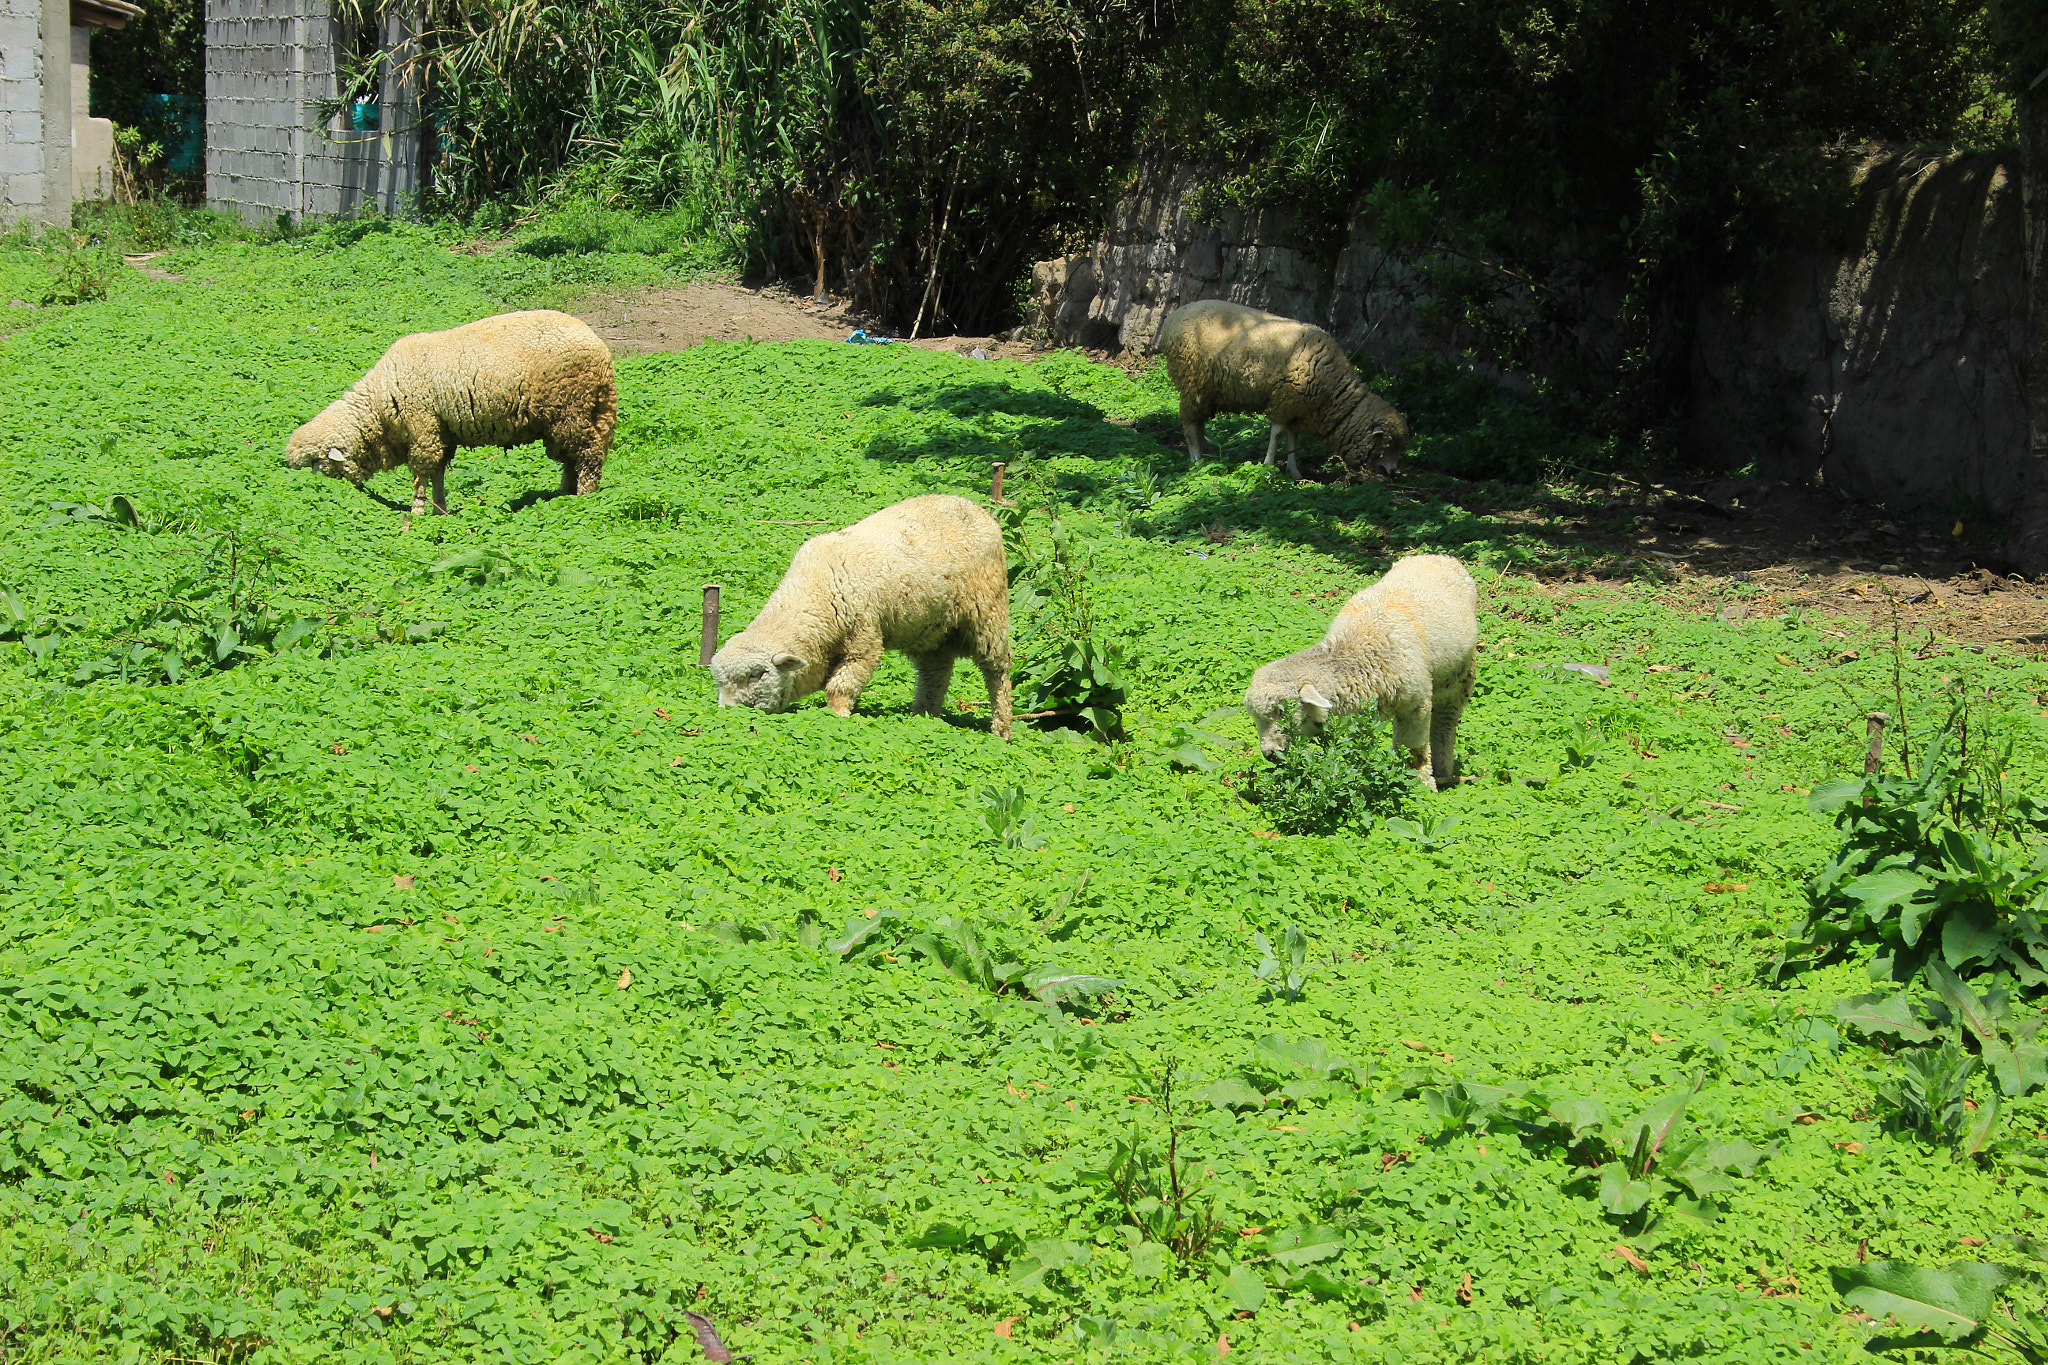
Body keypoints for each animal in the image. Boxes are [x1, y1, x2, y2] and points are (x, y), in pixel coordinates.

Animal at [284, 309, 616, 517]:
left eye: (315, 464)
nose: (319, 492)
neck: (380, 402)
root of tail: (600, 349)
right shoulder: (442, 433)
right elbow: (438, 473)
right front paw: (439, 510)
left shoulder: (423, 427)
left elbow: (421, 473)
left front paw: (417, 512)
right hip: (570, 414)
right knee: (572, 457)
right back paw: (563, 494)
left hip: (570, 406)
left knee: (587, 454)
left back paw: (583, 498)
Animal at [711, 494, 1013, 738]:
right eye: (719, 681)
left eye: (756, 675)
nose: (726, 712)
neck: (817, 591)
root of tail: (978, 508)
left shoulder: (863, 640)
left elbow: (840, 687)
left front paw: (836, 718)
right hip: (930, 627)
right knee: (935, 672)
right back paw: (923, 718)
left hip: (988, 610)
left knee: (996, 671)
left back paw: (1001, 729)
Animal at [1158, 299, 1409, 481]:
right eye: (1388, 444)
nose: (1393, 472)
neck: (1332, 392)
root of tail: (1171, 320)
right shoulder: (1285, 399)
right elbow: (1277, 433)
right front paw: (1269, 465)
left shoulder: (1298, 406)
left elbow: (1292, 437)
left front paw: (1294, 470)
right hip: (1191, 379)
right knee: (1189, 422)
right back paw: (1196, 457)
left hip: (1205, 390)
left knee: (1198, 420)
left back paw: (1207, 452)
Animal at [1244, 554, 1477, 791]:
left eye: (1282, 712)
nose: (1270, 754)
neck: (1357, 651)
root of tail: (1436, 556)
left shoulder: (1416, 704)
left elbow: (1415, 749)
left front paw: (1421, 786)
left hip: (1458, 677)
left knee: (1445, 719)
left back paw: (1443, 771)